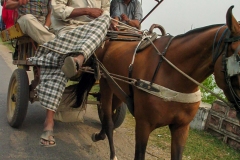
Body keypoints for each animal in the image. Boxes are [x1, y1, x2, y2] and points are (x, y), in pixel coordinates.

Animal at [86, 5, 240, 159]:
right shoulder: (143, 124)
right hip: (105, 81)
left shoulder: (181, 128)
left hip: (118, 89)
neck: (173, 76)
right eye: (238, 57)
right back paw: (110, 149)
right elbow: (139, 154)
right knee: (108, 119)